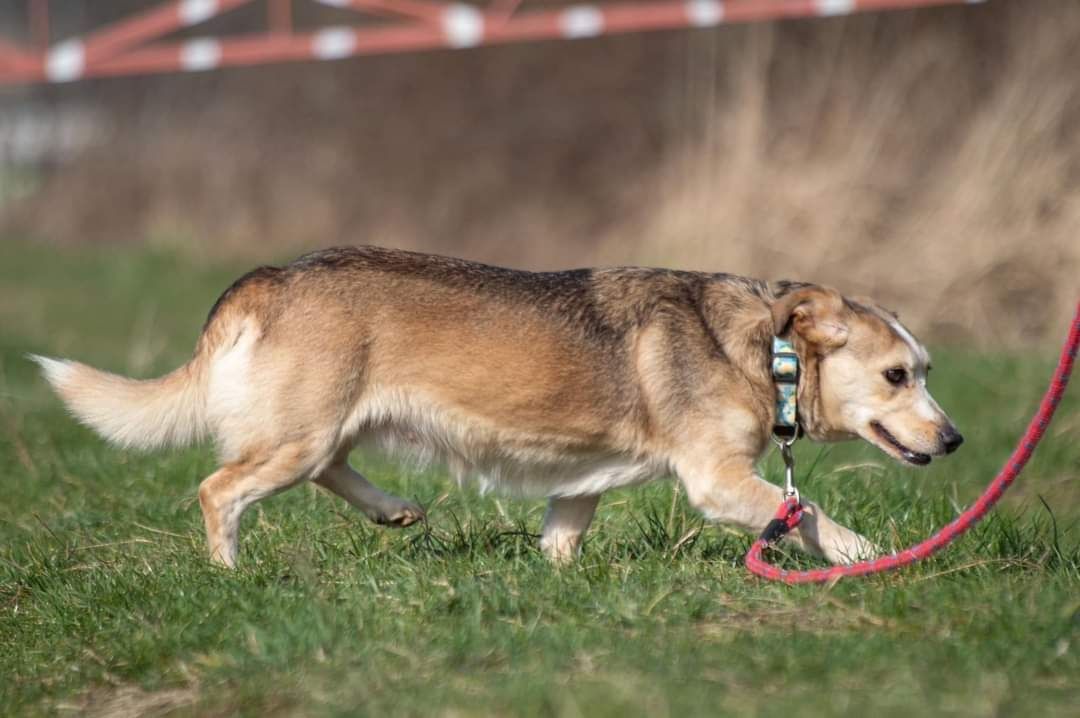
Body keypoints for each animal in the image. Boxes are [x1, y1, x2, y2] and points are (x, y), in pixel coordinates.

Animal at [31, 246, 963, 565]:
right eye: (896, 376)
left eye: (925, 370)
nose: (955, 439)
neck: (769, 353)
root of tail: (268, 278)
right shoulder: (719, 481)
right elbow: (809, 515)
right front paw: (873, 557)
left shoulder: (579, 486)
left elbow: (561, 541)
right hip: (296, 435)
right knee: (220, 490)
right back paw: (230, 574)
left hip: (324, 427)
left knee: (332, 470)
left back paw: (395, 510)